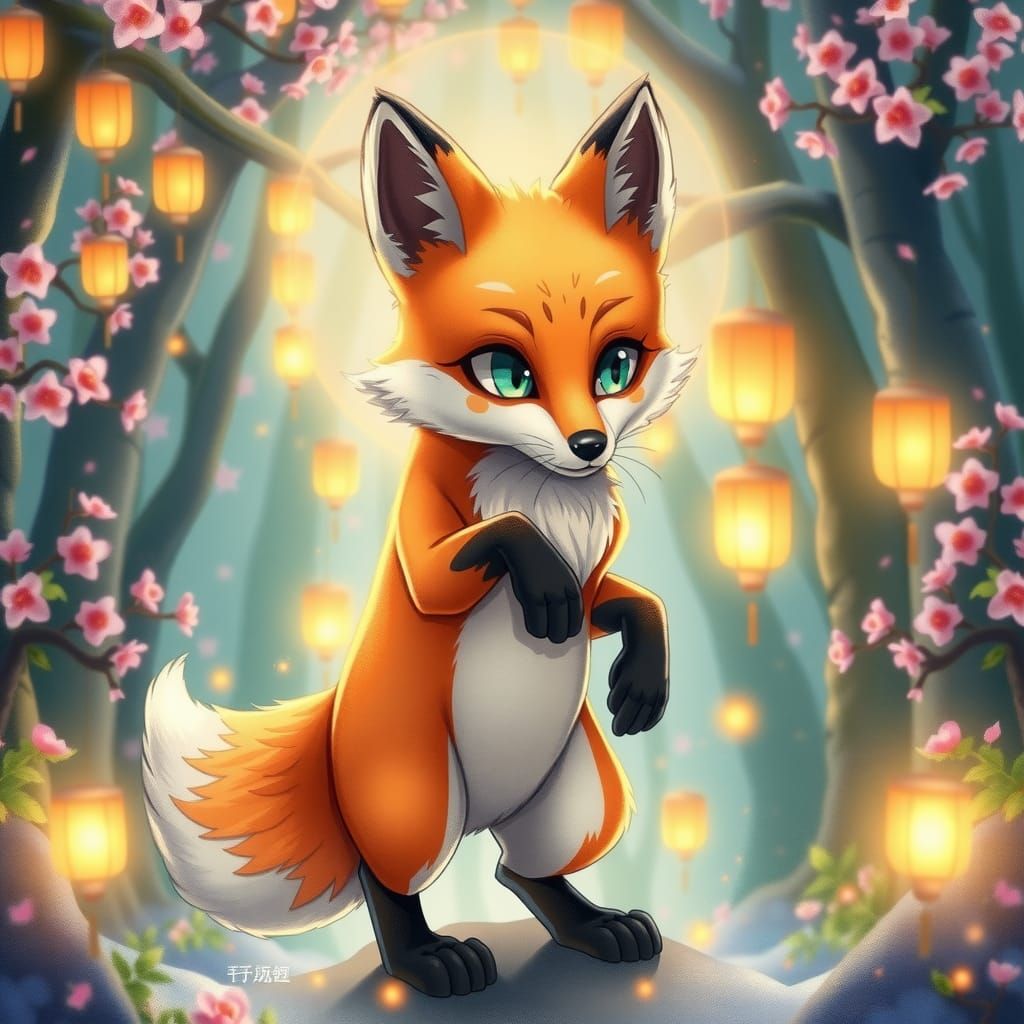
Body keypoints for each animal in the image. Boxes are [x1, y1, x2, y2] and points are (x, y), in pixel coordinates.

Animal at [142, 77, 696, 999]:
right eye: (506, 375)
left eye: (616, 365)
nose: (590, 447)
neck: (545, 491)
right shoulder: (426, 546)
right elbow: (492, 543)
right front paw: (539, 580)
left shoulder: (599, 582)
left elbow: (631, 602)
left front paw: (644, 680)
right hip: (422, 805)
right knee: (386, 881)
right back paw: (429, 958)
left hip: (580, 801)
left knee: (519, 871)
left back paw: (593, 925)